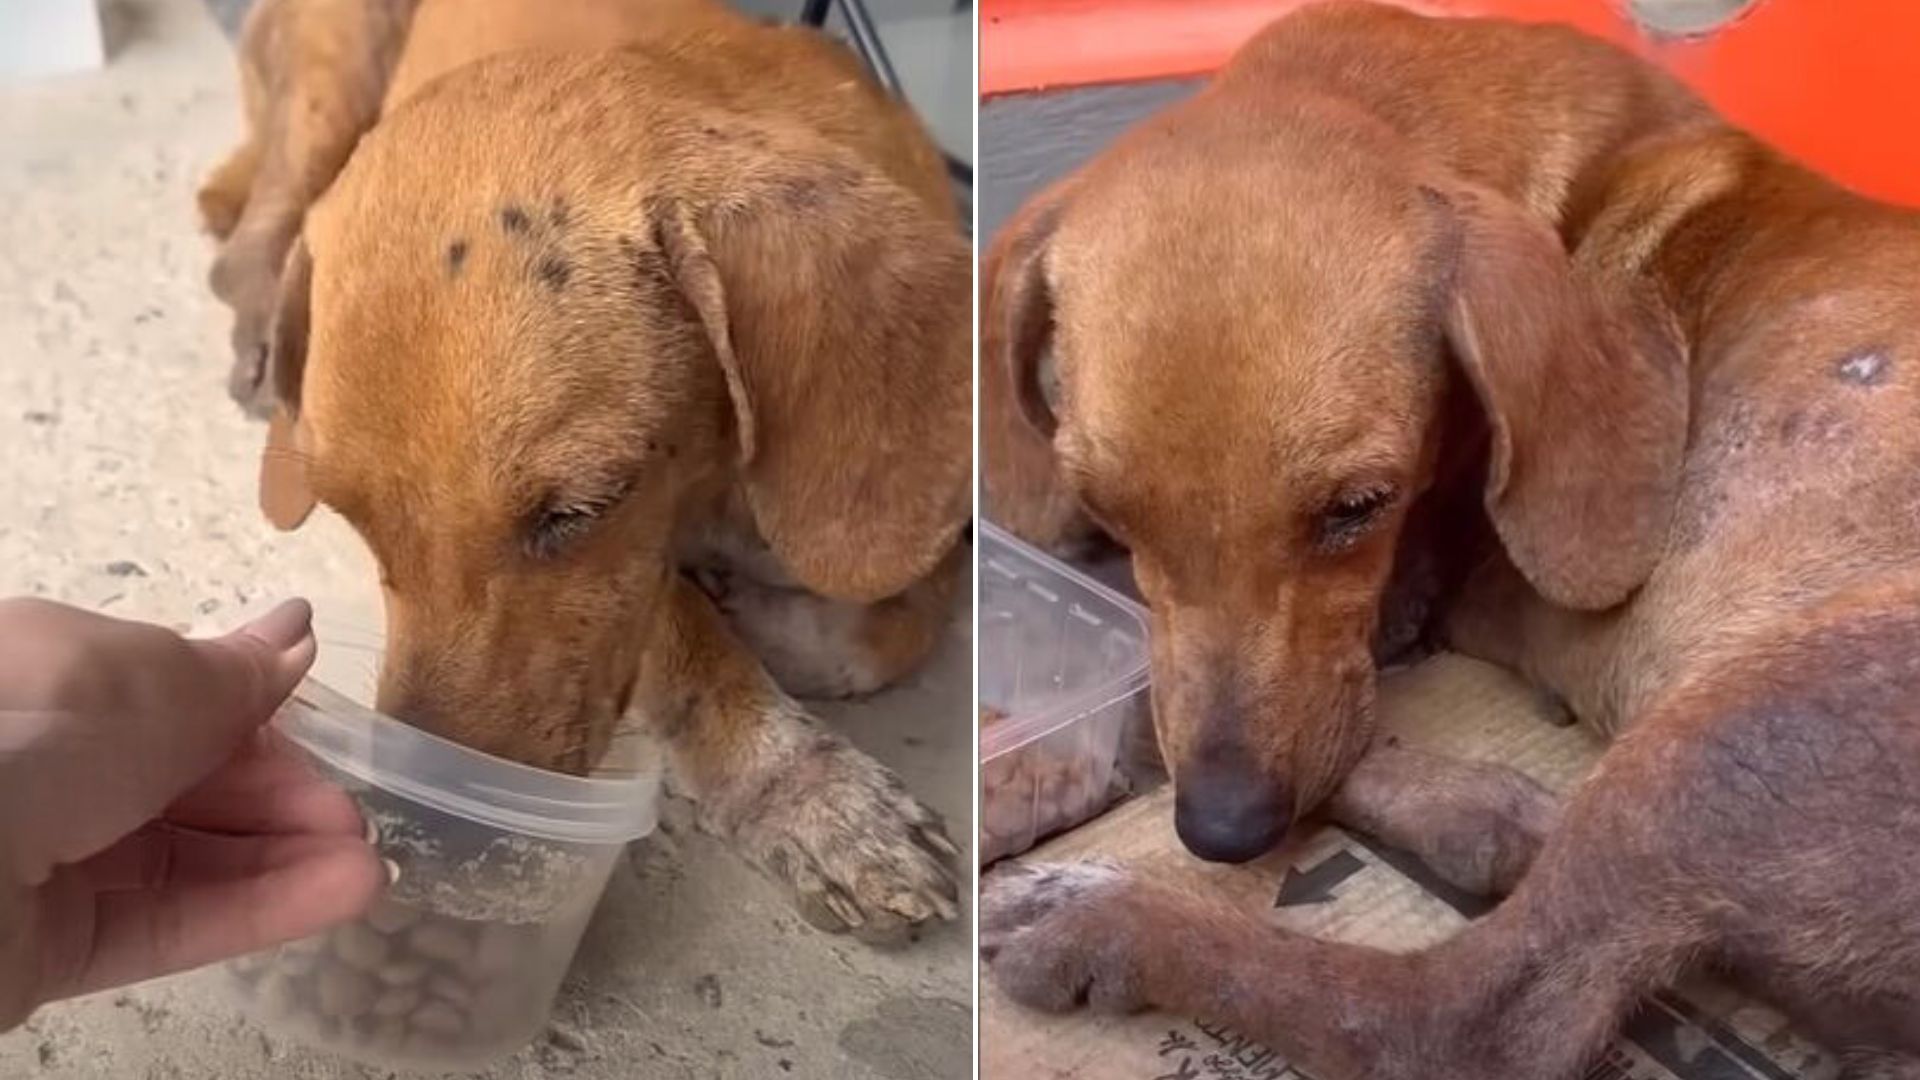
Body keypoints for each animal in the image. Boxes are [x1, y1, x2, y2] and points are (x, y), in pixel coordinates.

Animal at [206, 0, 975, 933]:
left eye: (575, 514)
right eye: (351, 520)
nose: (425, 843)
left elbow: (908, 613)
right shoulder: (652, 573)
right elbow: (690, 643)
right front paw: (799, 783)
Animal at [983, 4, 1920, 1068]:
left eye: (1358, 505)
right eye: (1108, 507)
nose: (1223, 829)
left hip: (1765, 706)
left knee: (1465, 1017)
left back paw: (1109, 917)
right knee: (1508, 846)